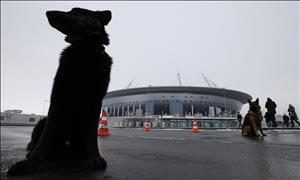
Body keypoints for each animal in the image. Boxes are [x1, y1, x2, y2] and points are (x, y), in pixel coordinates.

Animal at [7, 7, 112, 175]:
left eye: (75, 11)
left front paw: (94, 157)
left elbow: (91, 136)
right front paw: (29, 164)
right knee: (39, 141)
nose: (48, 12)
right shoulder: (58, 97)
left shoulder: (96, 101)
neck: (85, 52)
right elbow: (46, 137)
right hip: (41, 123)